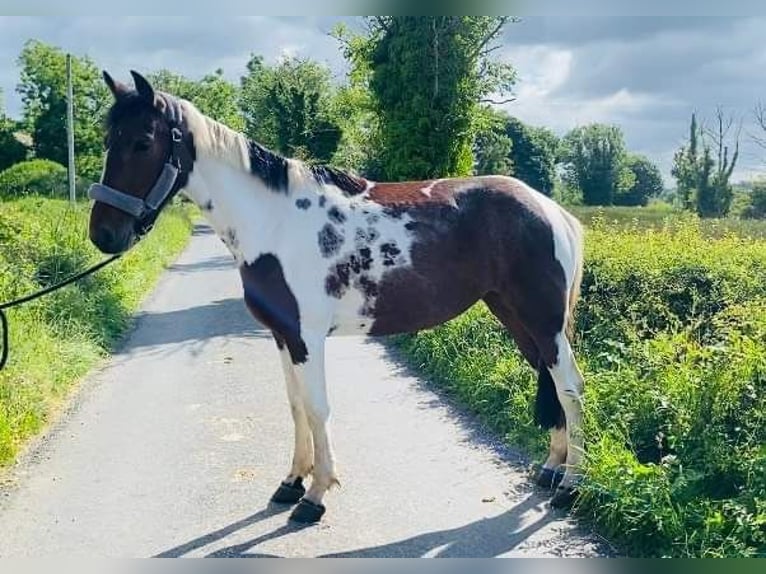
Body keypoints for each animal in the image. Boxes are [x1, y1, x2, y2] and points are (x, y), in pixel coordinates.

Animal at [87, 70, 588, 524]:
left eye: (143, 141)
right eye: (109, 139)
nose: (104, 234)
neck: (274, 222)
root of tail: (551, 209)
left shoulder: (307, 338)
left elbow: (317, 408)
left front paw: (316, 495)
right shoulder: (283, 336)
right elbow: (296, 407)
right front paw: (293, 481)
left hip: (542, 320)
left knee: (569, 387)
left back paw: (570, 488)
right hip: (515, 316)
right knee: (550, 381)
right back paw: (550, 470)